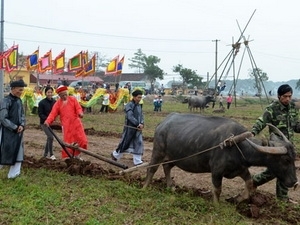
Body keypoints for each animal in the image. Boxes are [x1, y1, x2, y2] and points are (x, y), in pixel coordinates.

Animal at [144, 113, 298, 203]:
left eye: (294, 158)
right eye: (285, 160)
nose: (294, 182)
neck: (237, 145)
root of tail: (162, 123)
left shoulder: (241, 169)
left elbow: (250, 184)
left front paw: (237, 199)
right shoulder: (217, 171)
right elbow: (217, 189)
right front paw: (216, 205)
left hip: (174, 157)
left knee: (167, 167)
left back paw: (171, 187)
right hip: (158, 152)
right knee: (152, 168)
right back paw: (145, 186)